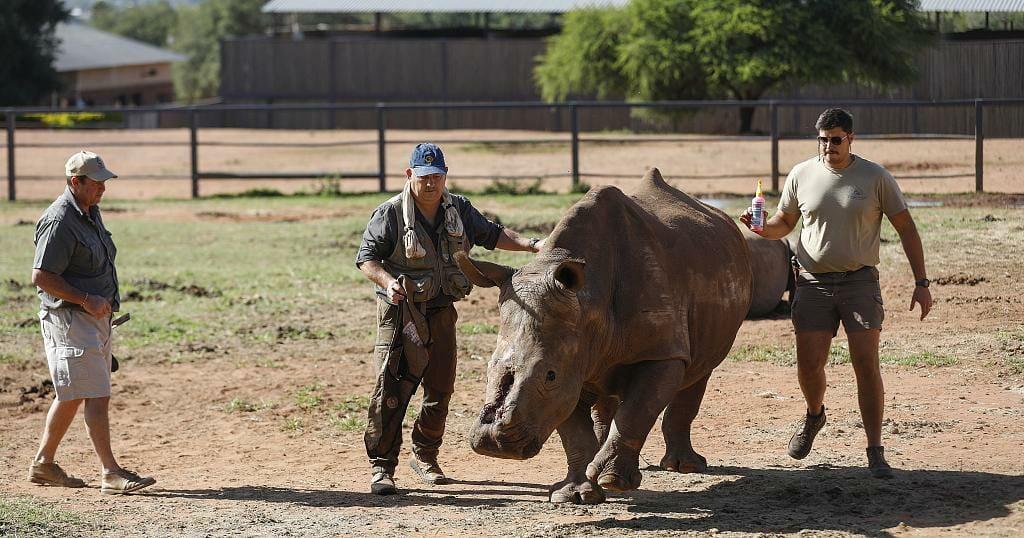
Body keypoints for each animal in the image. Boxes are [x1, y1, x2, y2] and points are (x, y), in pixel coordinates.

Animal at [455, 168, 751, 504]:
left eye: (549, 376)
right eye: (486, 370)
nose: (493, 444)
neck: (589, 300)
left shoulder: (662, 351)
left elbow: (636, 412)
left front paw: (613, 482)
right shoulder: (572, 350)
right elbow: (572, 428)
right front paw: (576, 495)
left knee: (700, 371)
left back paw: (685, 467)